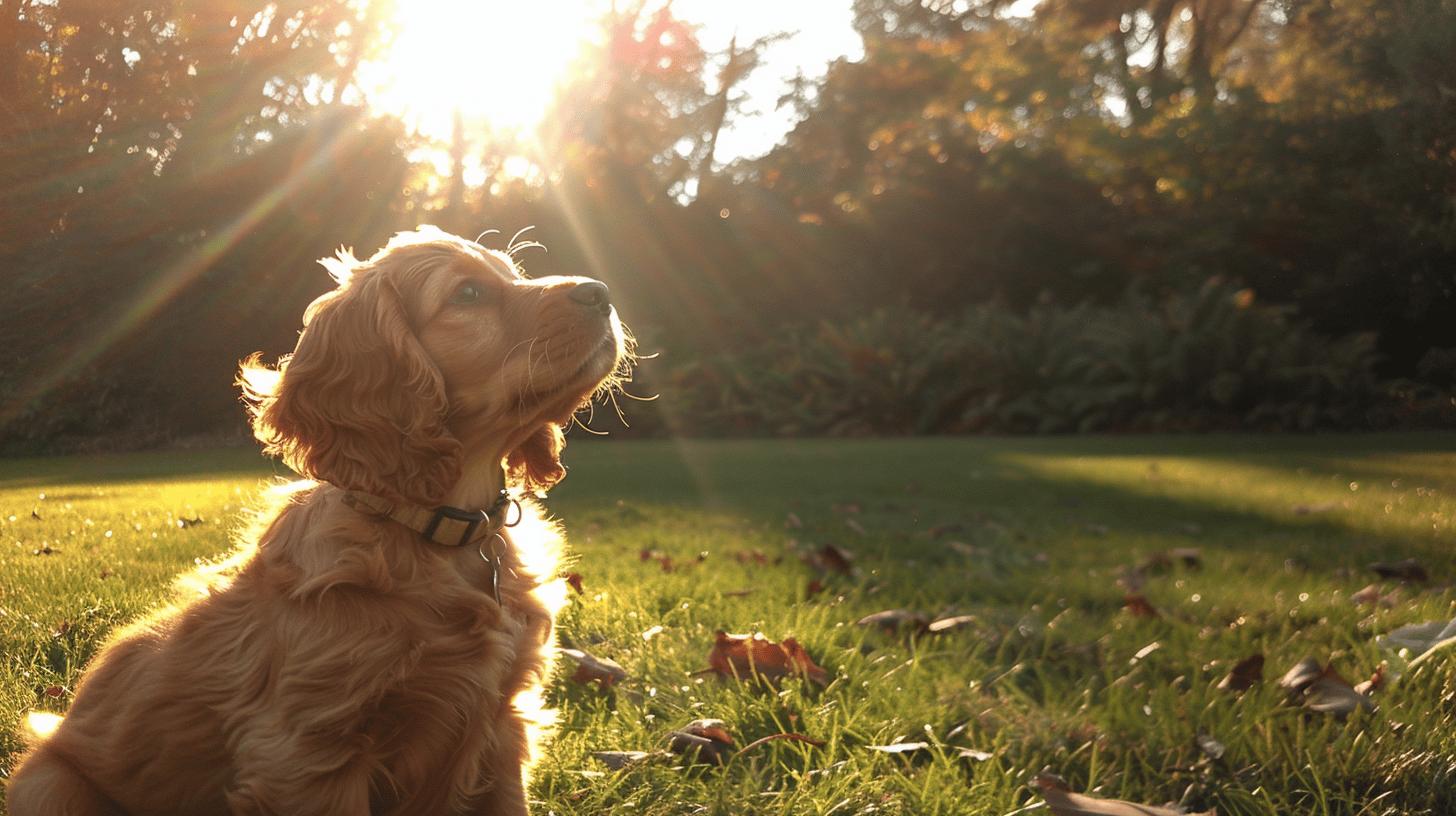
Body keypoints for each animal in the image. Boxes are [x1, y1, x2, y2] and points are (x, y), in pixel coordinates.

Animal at [7, 225, 631, 810]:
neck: (435, 531)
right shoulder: (308, 750)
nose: (602, 292)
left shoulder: (504, 729)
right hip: (49, 783)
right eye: (468, 293)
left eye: (513, 273)